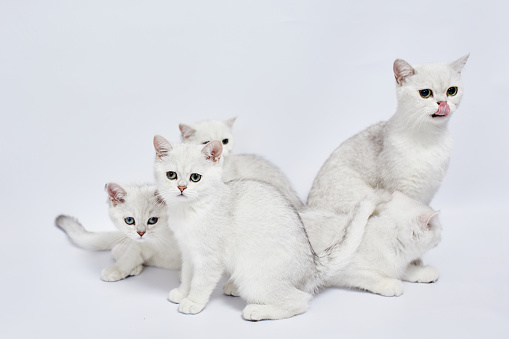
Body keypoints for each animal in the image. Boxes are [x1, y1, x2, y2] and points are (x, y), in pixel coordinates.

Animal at [306, 54, 468, 214]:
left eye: (452, 91)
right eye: (425, 93)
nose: (443, 103)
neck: (430, 137)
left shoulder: (428, 191)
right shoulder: (404, 191)